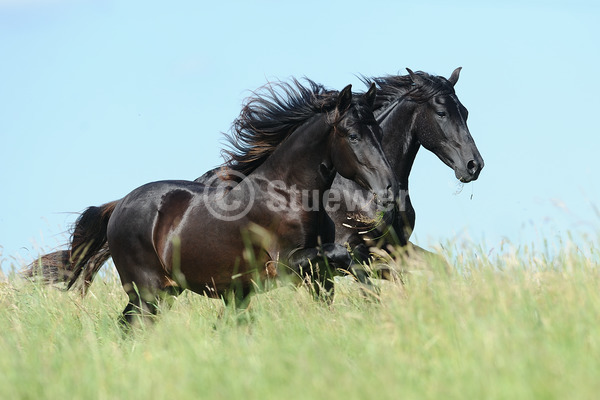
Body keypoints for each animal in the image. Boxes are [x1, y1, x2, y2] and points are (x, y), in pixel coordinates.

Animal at [24, 79, 398, 324]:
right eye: (352, 135)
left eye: (380, 132)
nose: (389, 189)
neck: (288, 195)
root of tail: (120, 206)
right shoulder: (288, 265)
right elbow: (344, 255)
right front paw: (374, 296)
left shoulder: (316, 275)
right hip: (148, 292)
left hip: (168, 293)